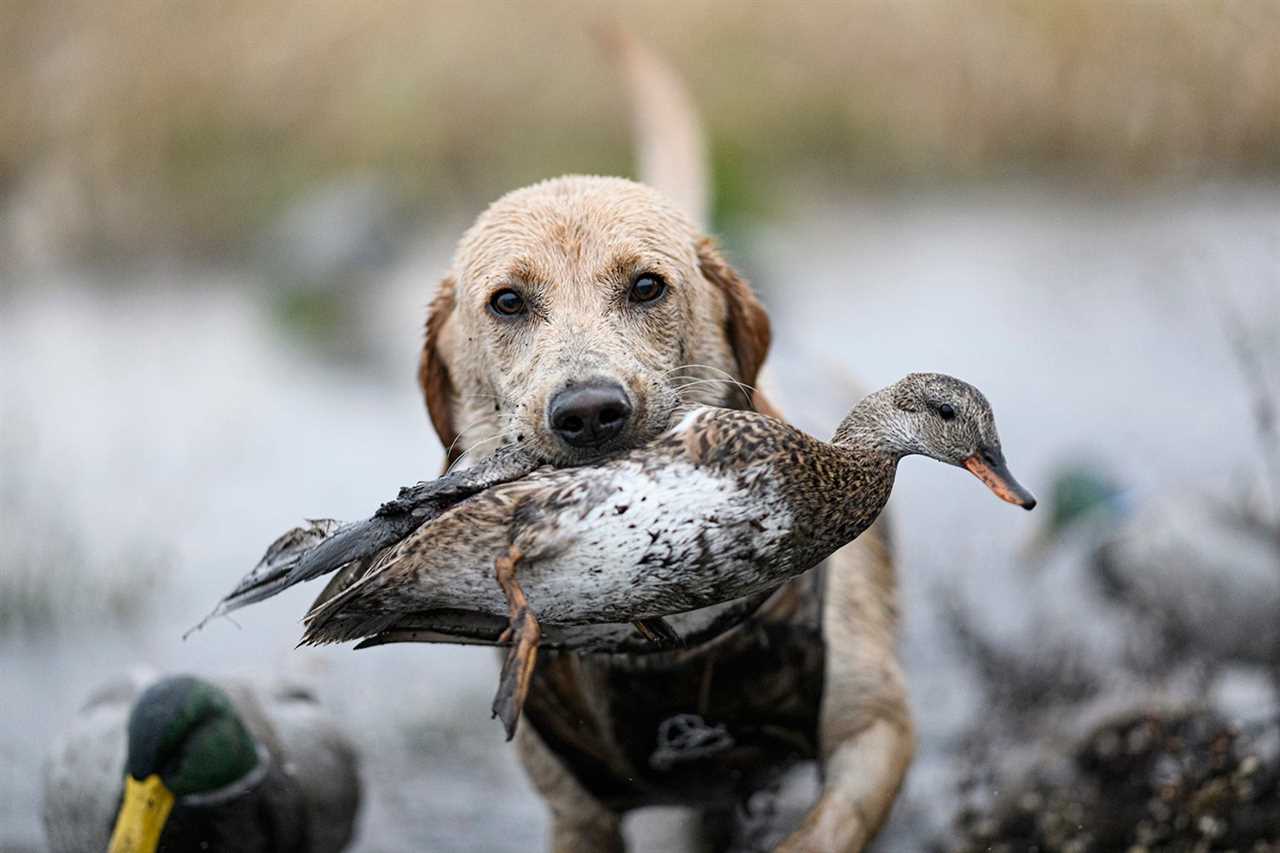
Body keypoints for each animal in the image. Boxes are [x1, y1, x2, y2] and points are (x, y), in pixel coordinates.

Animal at [414, 34, 906, 850]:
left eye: (647, 286)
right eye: (507, 301)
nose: (589, 412)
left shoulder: (877, 733)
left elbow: (822, 829)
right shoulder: (577, 814)